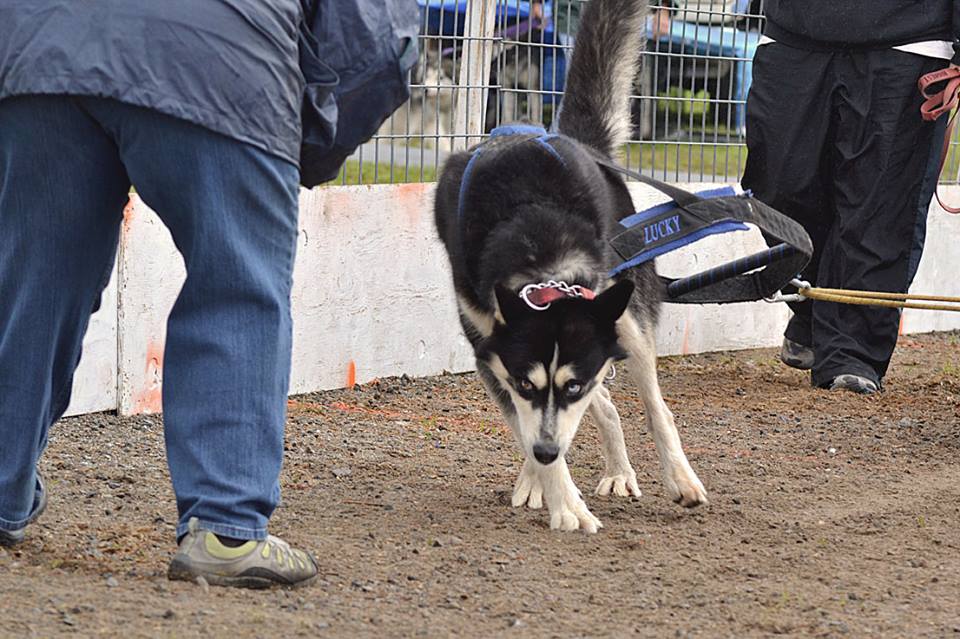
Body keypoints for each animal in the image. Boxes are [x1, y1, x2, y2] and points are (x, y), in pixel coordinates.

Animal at [434, 0, 704, 532]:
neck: (538, 244)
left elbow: (591, 413)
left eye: (572, 384)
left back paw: (669, 476)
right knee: (601, 411)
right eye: (525, 382)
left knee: (650, 405)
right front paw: (562, 498)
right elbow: (530, 424)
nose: (544, 453)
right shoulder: (494, 357)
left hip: (626, 318)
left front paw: (555, 485)